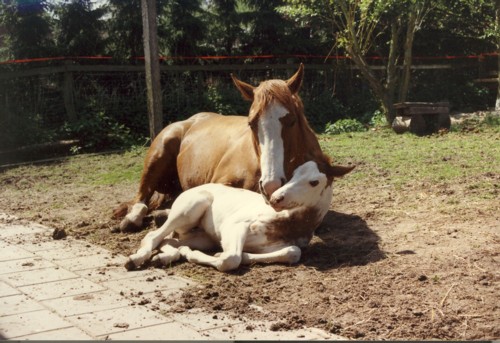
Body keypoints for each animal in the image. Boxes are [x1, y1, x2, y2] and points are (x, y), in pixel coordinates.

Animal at [113, 63, 348, 232]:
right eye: (251, 123)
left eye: (291, 121)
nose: (270, 185)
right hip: (158, 153)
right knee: (141, 197)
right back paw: (132, 219)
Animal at [124, 160, 352, 272]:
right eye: (293, 174)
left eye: (314, 182)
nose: (276, 198)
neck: (288, 223)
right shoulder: (233, 226)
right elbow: (231, 259)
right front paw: (197, 255)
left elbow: (293, 252)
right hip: (189, 209)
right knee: (153, 236)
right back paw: (134, 260)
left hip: (203, 237)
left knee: (170, 240)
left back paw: (164, 257)